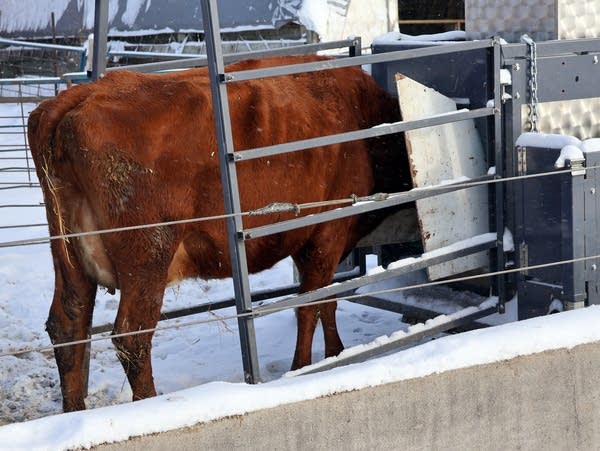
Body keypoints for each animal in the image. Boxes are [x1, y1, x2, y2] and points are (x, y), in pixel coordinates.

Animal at [29, 54, 412, 412]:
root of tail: (82, 95)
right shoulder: (327, 232)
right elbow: (310, 305)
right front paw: (303, 366)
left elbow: (327, 301)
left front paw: (335, 352)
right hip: (149, 254)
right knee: (131, 335)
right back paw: (149, 402)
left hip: (70, 256)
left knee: (68, 325)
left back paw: (73, 412)